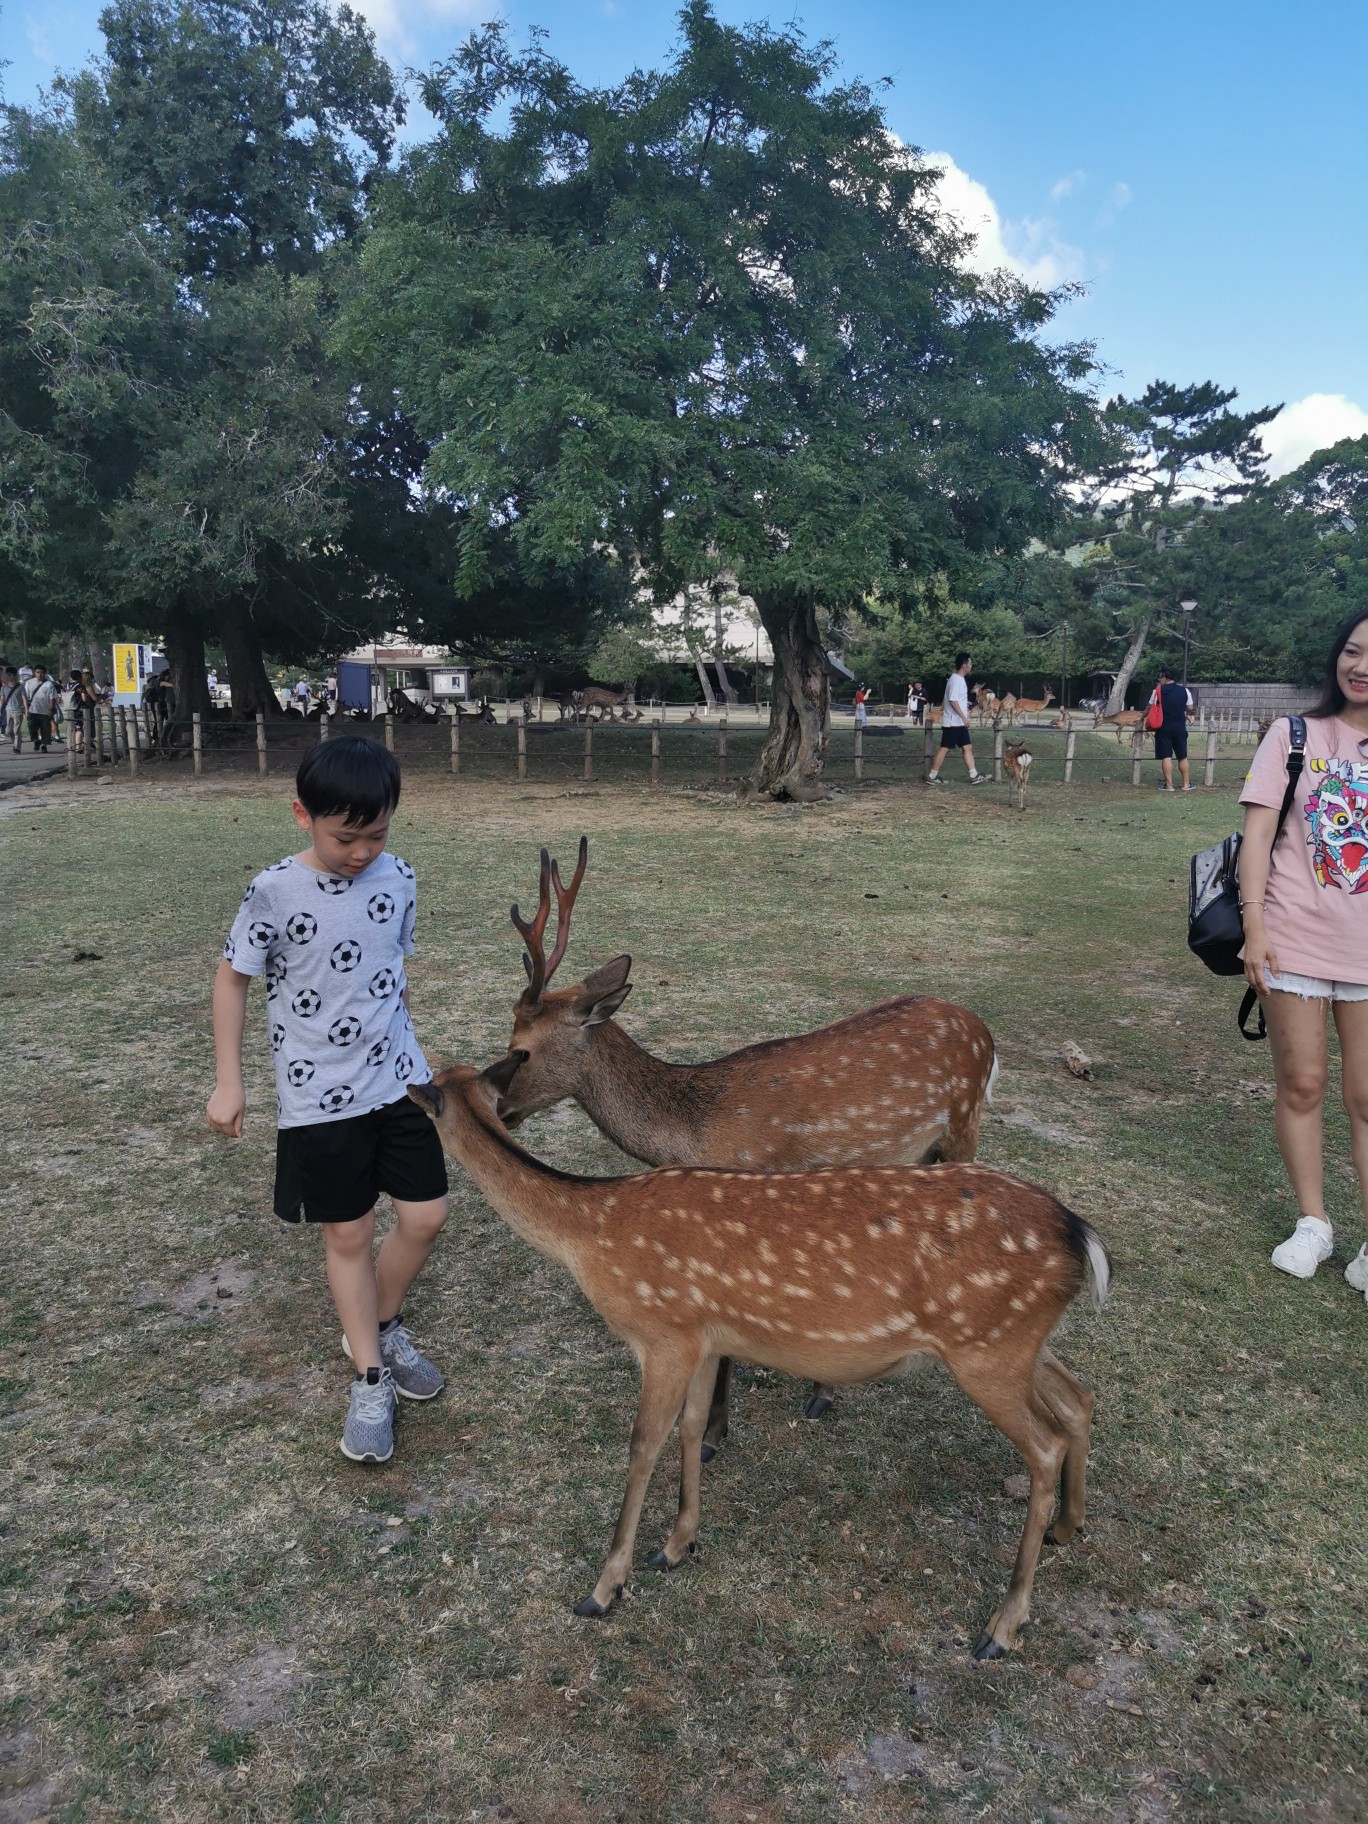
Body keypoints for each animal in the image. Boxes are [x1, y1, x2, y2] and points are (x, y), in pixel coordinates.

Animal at [410, 1057, 1116, 1670]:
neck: (590, 1235)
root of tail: (1078, 1233)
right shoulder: (701, 1337)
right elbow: (694, 1428)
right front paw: (677, 1545)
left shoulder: (662, 1332)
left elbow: (642, 1446)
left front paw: (604, 1588)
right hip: (1011, 1342)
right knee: (1079, 1398)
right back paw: (1069, 1526)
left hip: (985, 1349)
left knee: (1045, 1444)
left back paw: (1003, 1625)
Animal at [499, 839, 999, 1451]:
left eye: (519, 1050)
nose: (502, 1109)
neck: (689, 1132)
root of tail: (986, 1034)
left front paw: (713, 1436)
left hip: (966, 1125)